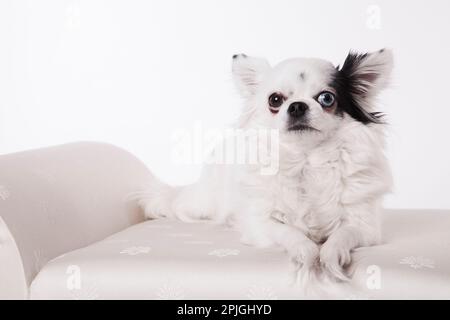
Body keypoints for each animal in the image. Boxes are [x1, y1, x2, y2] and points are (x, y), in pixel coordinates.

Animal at [137, 50, 394, 282]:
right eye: (275, 100)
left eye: (327, 98)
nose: (297, 106)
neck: (306, 161)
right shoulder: (259, 224)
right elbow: (288, 232)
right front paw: (306, 253)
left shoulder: (366, 226)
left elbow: (342, 235)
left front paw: (331, 256)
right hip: (202, 204)